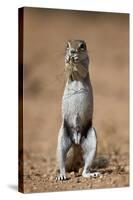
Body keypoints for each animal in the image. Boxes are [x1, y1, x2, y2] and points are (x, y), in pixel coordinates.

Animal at [55, 39, 108, 180]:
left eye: (82, 46)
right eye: (67, 45)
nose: (72, 51)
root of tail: (76, 142)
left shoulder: (87, 64)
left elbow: (83, 69)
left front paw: (76, 58)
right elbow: (67, 67)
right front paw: (68, 58)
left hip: (92, 141)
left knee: (85, 168)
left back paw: (91, 173)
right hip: (62, 139)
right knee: (62, 161)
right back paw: (62, 175)